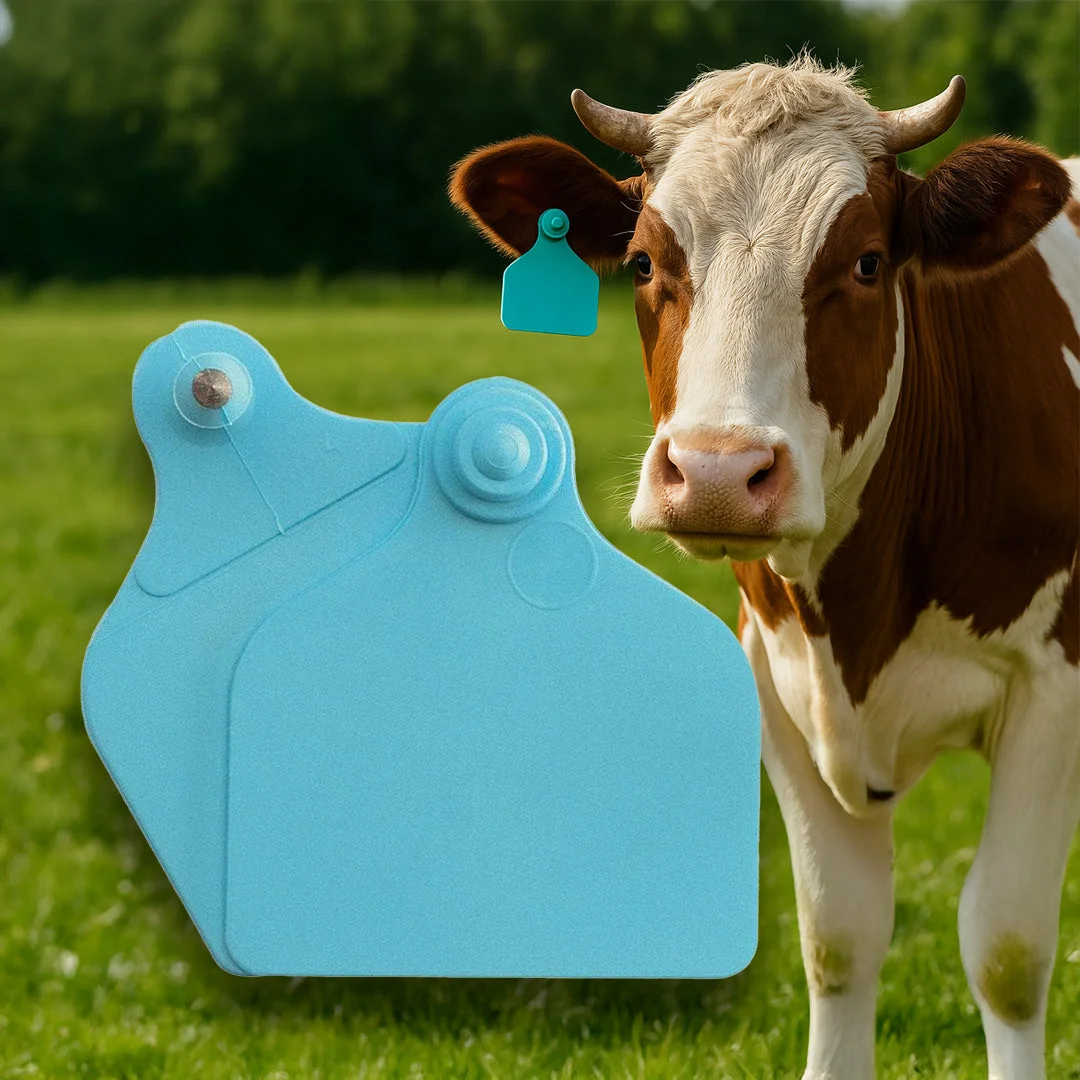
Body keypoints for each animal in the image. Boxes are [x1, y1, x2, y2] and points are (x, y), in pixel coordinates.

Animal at [449, 57, 1079, 1080]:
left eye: (866, 263)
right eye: (643, 264)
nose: (715, 473)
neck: (860, 623)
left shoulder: (1053, 688)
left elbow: (1008, 949)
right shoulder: (776, 679)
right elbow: (839, 938)